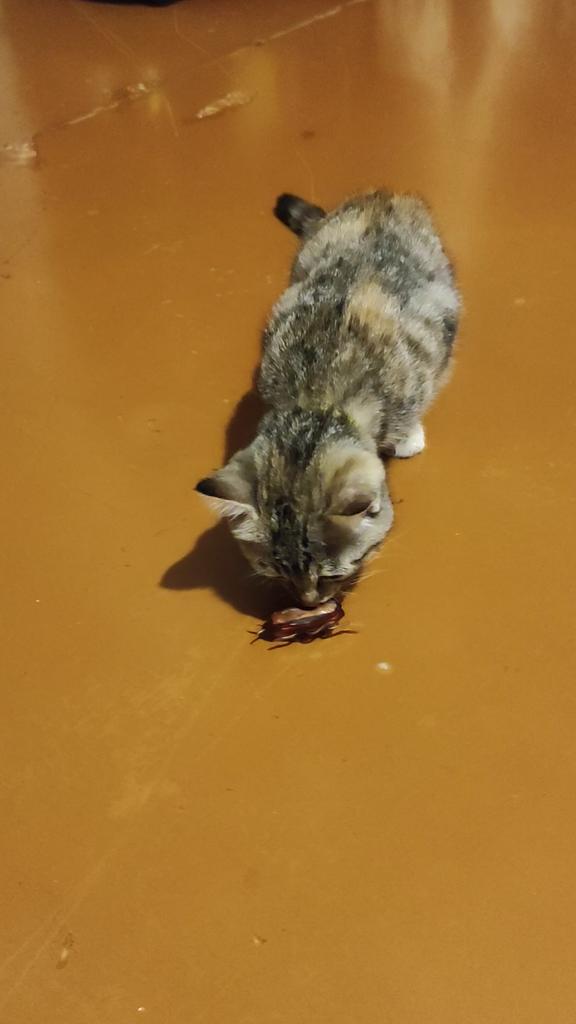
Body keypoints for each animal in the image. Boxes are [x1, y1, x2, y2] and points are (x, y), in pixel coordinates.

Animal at [196, 190, 460, 607]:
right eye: (275, 572)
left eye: (330, 574)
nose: (308, 602)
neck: (321, 394)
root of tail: (382, 197)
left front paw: (408, 437)